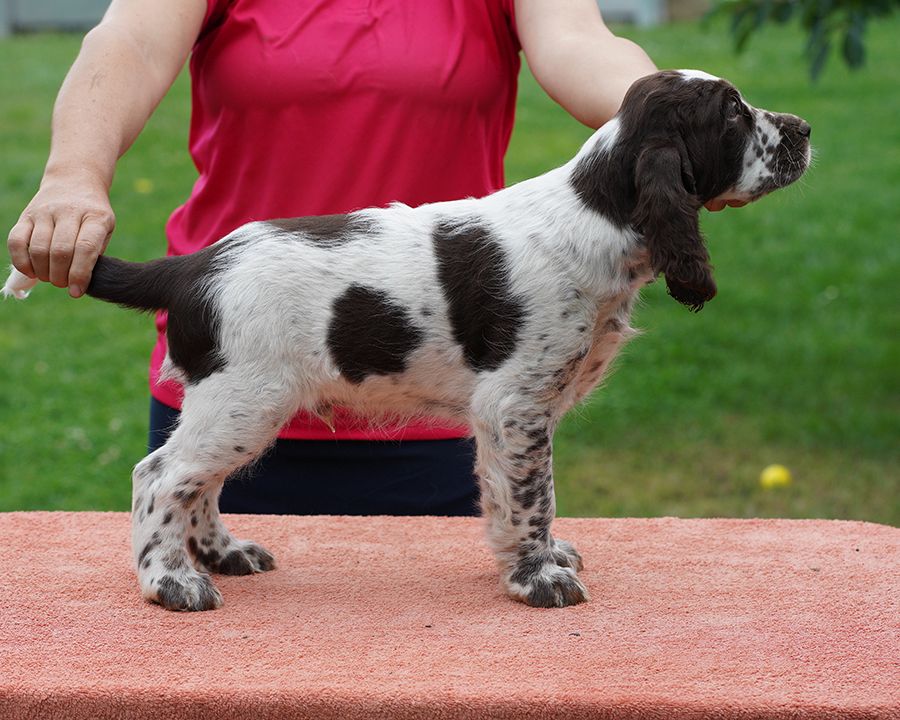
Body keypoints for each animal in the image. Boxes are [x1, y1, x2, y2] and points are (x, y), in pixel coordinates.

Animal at [3, 70, 812, 612]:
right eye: (733, 113)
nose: (804, 129)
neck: (600, 213)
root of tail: (191, 266)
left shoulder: (519, 411)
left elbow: (520, 498)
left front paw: (541, 560)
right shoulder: (515, 406)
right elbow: (532, 497)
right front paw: (538, 577)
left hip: (229, 403)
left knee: (192, 481)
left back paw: (224, 555)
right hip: (245, 398)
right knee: (160, 475)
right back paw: (171, 580)